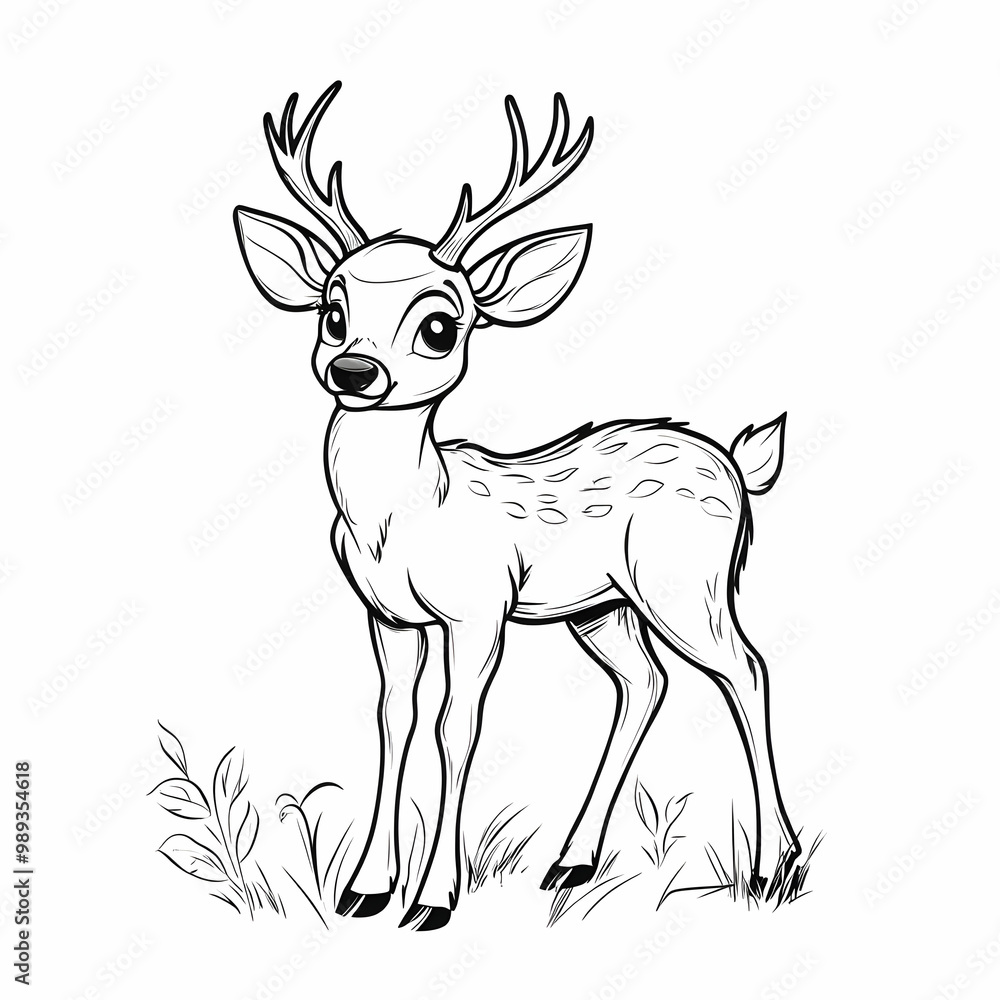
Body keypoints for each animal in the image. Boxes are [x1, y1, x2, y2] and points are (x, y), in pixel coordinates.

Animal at [233, 81, 801, 930]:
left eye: (440, 324)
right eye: (332, 311)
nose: (354, 370)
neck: (402, 522)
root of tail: (737, 461)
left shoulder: (479, 608)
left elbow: (455, 727)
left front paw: (432, 900)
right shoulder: (386, 614)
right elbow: (394, 721)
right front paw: (365, 887)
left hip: (686, 581)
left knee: (748, 670)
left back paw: (773, 868)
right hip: (602, 605)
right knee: (646, 684)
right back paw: (571, 862)